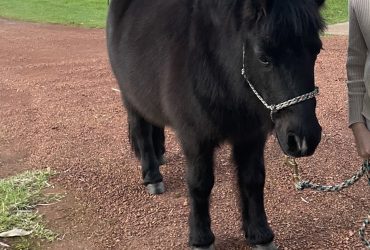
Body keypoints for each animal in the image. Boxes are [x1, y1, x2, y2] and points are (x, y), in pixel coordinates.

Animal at [106, 0, 324, 249]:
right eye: (263, 57)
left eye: (316, 50)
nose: (304, 139)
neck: (215, 67)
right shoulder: (196, 138)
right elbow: (200, 183)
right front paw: (201, 238)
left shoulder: (251, 135)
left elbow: (253, 179)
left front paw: (260, 234)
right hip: (130, 98)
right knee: (142, 133)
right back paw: (152, 176)